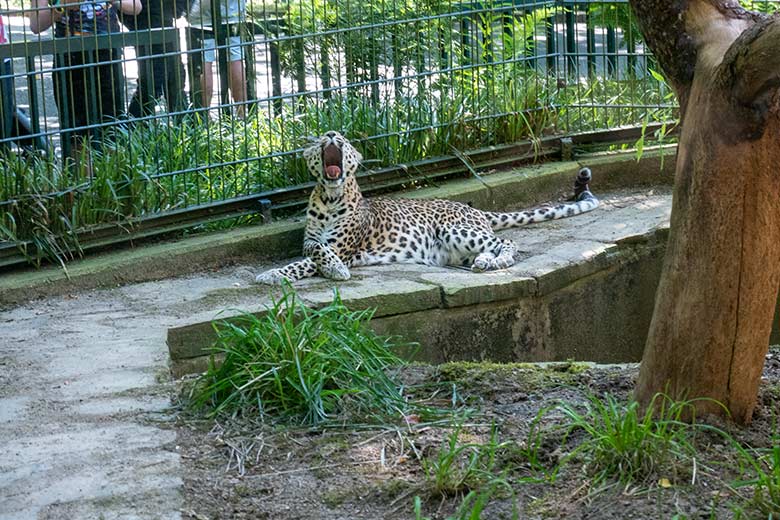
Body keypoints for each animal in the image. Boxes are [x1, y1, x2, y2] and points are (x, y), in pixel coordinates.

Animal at [256, 130, 596, 284]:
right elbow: (314, 249)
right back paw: (484, 262)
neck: (329, 196)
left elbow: (312, 260)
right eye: (319, 141)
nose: (331, 135)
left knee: (507, 241)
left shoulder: (343, 248)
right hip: (457, 247)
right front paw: (277, 272)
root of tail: (473, 209)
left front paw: (278, 274)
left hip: (454, 228)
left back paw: (497, 261)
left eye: (345, 141)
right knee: (489, 248)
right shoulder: (311, 241)